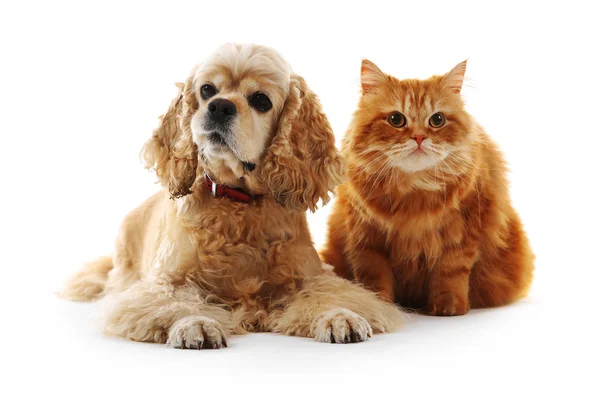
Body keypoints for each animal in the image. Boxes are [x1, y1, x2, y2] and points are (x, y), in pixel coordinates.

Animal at [62, 43, 404, 348]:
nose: (220, 106)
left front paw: (340, 315)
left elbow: (331, 295)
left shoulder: (309, 276)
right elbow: (173, 303)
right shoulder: (164, 283)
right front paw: (194, 323)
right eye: (207, 90)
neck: (238, 203)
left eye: (261, 100)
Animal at [324, 59, 536, 316]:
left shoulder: (462, 233)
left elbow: (450, 273)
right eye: (396, 120)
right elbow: (374, 277)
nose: (418, 137)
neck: (413, 191)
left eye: (437, 120)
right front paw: (380, 305)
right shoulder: (366, 238)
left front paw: (448, 308)